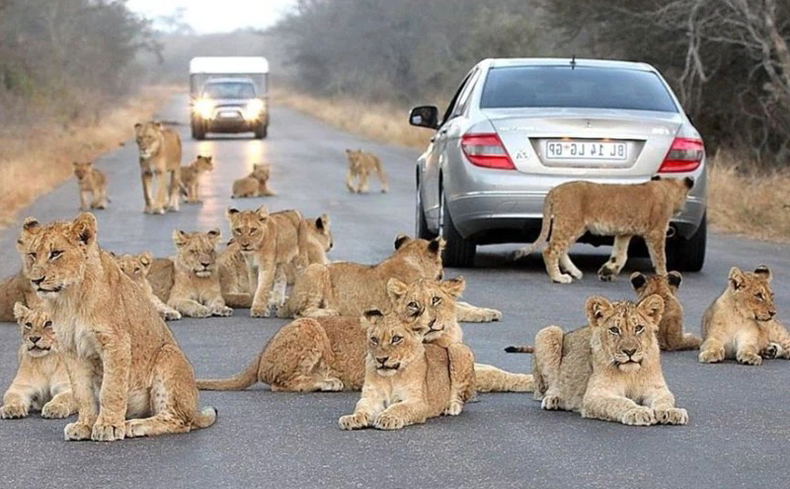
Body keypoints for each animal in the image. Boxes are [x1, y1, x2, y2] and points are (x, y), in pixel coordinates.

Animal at [17, 213, 216, 441]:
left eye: (56, 253)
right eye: (33, 254)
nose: (36, 280)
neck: (69, 298)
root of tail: (195, 410)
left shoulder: (115, 341)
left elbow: (111, 389)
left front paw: (108, 427)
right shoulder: (71, 349)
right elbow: (82, 392)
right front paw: (84, 425)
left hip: (169, 354)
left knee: (179, 420)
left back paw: (133, 425)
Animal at [338, 309, 474, 430]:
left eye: (396, 338)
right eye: (374, 339)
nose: (381, 359)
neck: (391, 378)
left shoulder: (418, 402)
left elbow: (399, 407)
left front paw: (387, 418)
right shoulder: (371, 397)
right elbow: (362, 407)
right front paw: (352, 418)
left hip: (457, 349)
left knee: (460, 397)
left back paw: (451, 407)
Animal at [512, 176, 694, 283]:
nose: (682, 209)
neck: (666, 187)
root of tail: (554, 190)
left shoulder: (624, 233)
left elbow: (620, 255)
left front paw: (607, 271)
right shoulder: (656, 232)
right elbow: (660, 258)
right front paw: (665, 276)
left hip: (574, 227)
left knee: (561, 250)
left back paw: (575, 273)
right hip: (570, 223)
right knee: (550, 250)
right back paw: (559, 277)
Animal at [524, 295, 688, 426]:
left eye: (638, 328)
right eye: (614, 330)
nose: (630, 351)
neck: (630, 373)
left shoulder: (657, 389)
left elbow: (664, 400)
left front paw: (671, 411)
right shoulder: (595, 395)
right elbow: (620, 402)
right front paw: (638, 412)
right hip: (548, 331)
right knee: (544, 390)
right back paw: (554, 399)